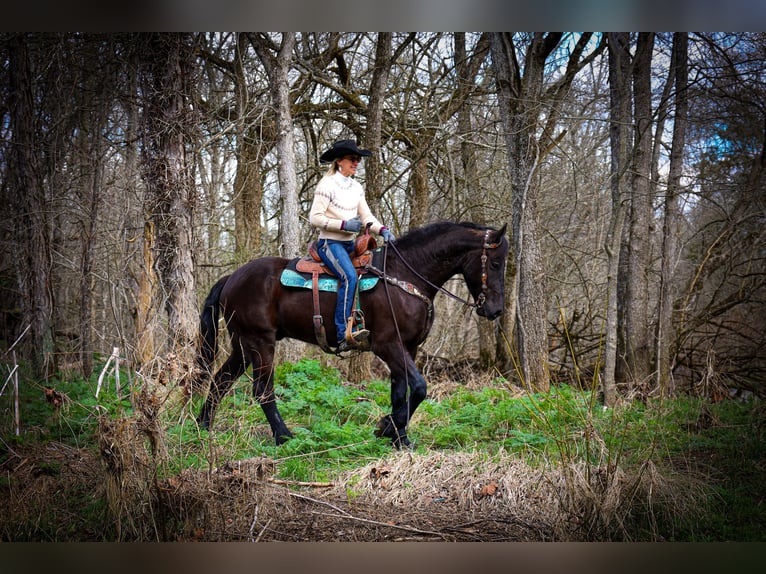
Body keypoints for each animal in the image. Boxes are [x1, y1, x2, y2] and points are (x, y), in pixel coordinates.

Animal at [194, 220, 510, 450]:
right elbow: (419, 387)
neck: (404, 277)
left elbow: (399, 392)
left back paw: (202, 427)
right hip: (260, 342)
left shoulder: (407, 347)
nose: (495, 310)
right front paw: (386, 427)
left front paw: (399, 438)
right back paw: (284, 437)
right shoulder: (387, 345)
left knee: (220, 382)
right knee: (262, 391)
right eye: (495, 264)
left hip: (242, 345)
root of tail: (231, 278)